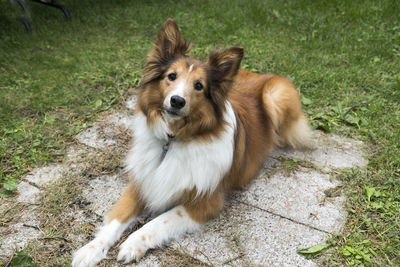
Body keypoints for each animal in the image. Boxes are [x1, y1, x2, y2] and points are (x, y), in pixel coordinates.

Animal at [71, 17, 310, 266]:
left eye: (199, 86)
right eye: (171, 76)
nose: (177, 101)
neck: (173, 140)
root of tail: (261, 74)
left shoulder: (204, 202)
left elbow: (157, 222)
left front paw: (133, 243)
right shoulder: (142, 183)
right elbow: (116, 220)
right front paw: (90, 250)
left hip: (275, 95)